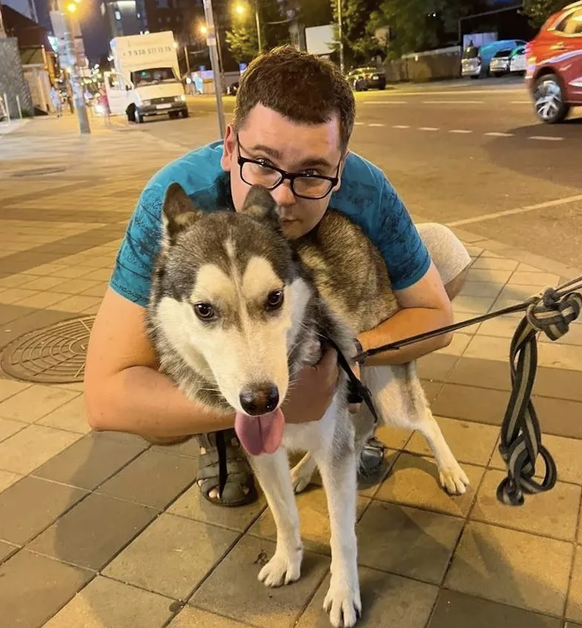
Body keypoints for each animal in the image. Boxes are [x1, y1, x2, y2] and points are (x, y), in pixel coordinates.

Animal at [146, 182, 470, 628]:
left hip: (386, 393)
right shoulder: (263, 450)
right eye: (203, 309)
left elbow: (342, 534)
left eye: (275, 298)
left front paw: (344, 593)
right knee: (355, 433)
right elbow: (283, 514)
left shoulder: (334, 438)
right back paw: (301, 471)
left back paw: (450, 471)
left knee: (422, 418)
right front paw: (288, 560)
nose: (260, 400)